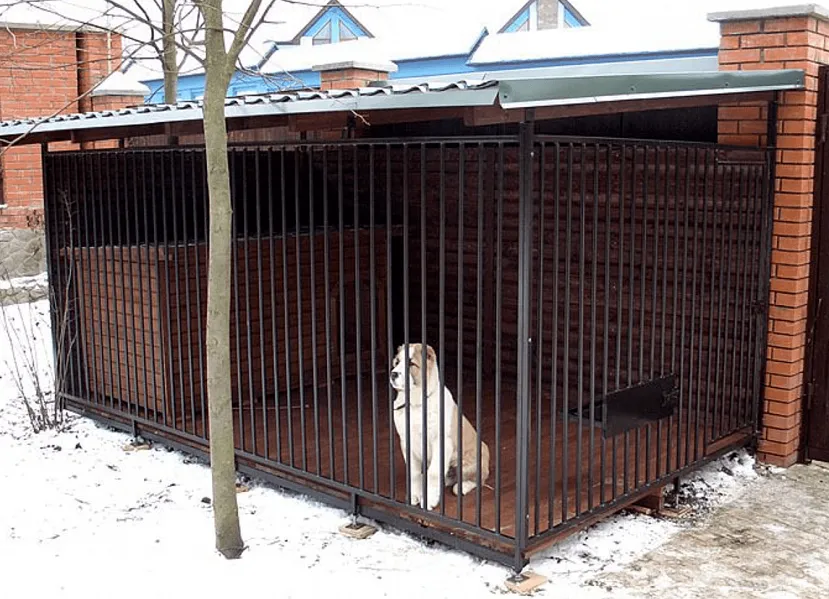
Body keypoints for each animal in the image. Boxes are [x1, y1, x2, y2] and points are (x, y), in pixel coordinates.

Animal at [390, 342, 488, 510]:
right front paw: (415, 495)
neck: (416, 403)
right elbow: (413, 471)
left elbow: (434, 473)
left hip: (473, 460)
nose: (393, 374)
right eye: (396, 362)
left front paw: (429, 500)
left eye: (411, 364)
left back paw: (462, 487)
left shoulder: (441, 442)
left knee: (477, 480)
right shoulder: (406, 441)